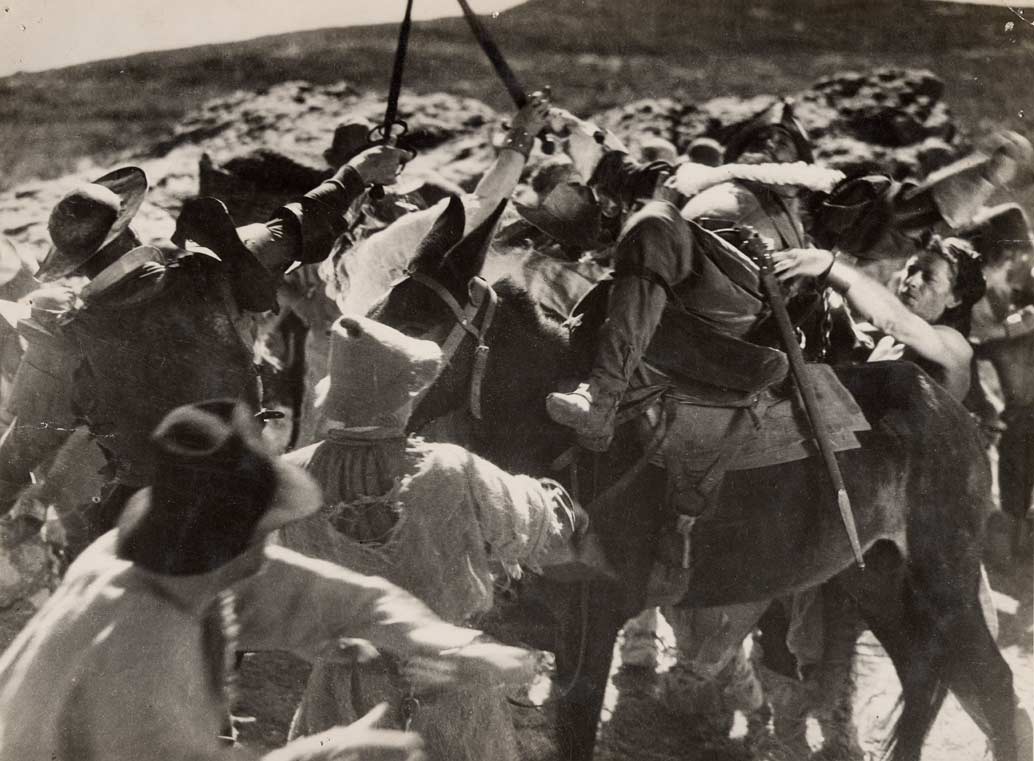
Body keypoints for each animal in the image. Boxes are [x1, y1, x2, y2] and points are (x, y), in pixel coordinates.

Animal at [366, 226, 1032, 761]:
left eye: (420, 325)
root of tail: (951, 409)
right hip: (877, 579)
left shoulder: (592, 623)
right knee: (922, 675)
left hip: (945, 583)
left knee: (993, 688)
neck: (559, 436)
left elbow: (575, 727)